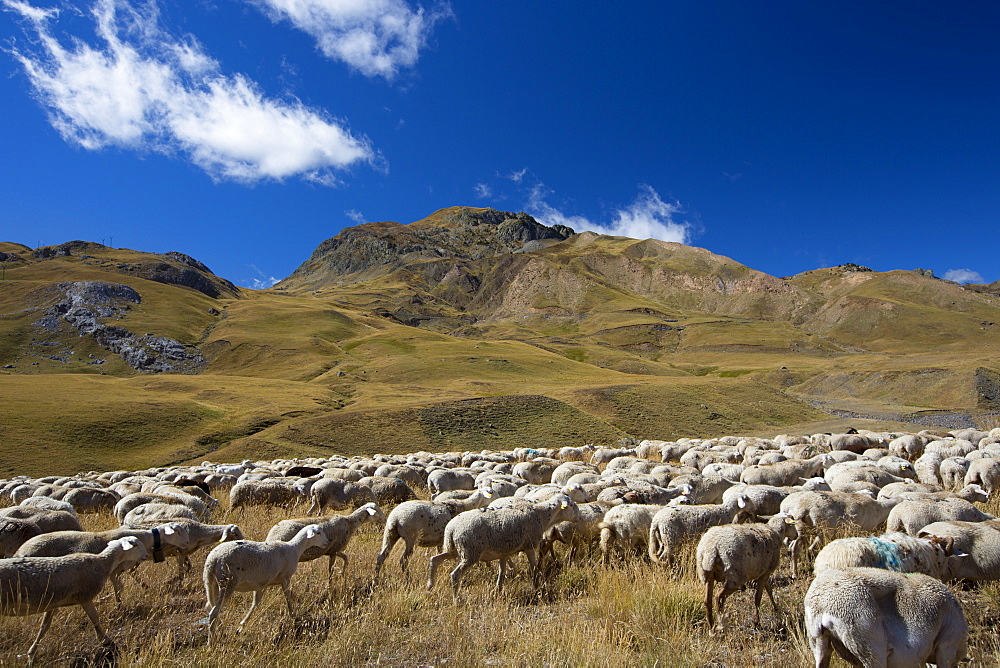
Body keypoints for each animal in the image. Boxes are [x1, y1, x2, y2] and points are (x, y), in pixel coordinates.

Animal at [0, 536, 147, 656]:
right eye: (136, 545)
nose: (146, 555)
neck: (103, 562)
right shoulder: (85, 596)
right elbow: (95, 617)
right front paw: (105, 639)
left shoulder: (53, 603)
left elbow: (44, 627)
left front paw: (32, 652)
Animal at [201, 524, 330, 644]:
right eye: (318, 533)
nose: (327, 543)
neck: (294, 548)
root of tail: (213, 559)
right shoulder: (285, 578)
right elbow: (288, 598)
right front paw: (294, 617)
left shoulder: (262, 584)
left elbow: (255, 603)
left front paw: (241, 626)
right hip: (228, 582)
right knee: (214, 612)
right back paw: (210, 643)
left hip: (213, 582)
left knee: (209, 606)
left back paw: (220, 630)